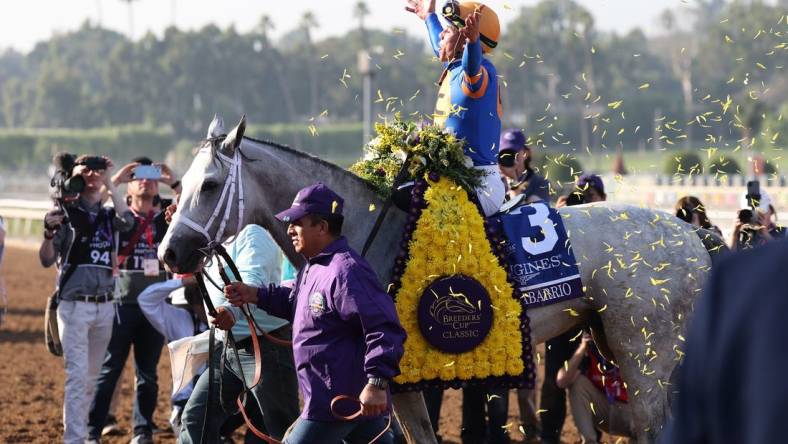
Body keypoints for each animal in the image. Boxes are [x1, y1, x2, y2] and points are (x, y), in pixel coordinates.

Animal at [162, 116, 716, 442]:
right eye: (181, 184)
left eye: (209, 185)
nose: (170, 252)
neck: (369, 232)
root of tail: (690, 235)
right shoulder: (398, 387)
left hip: (644, 349)